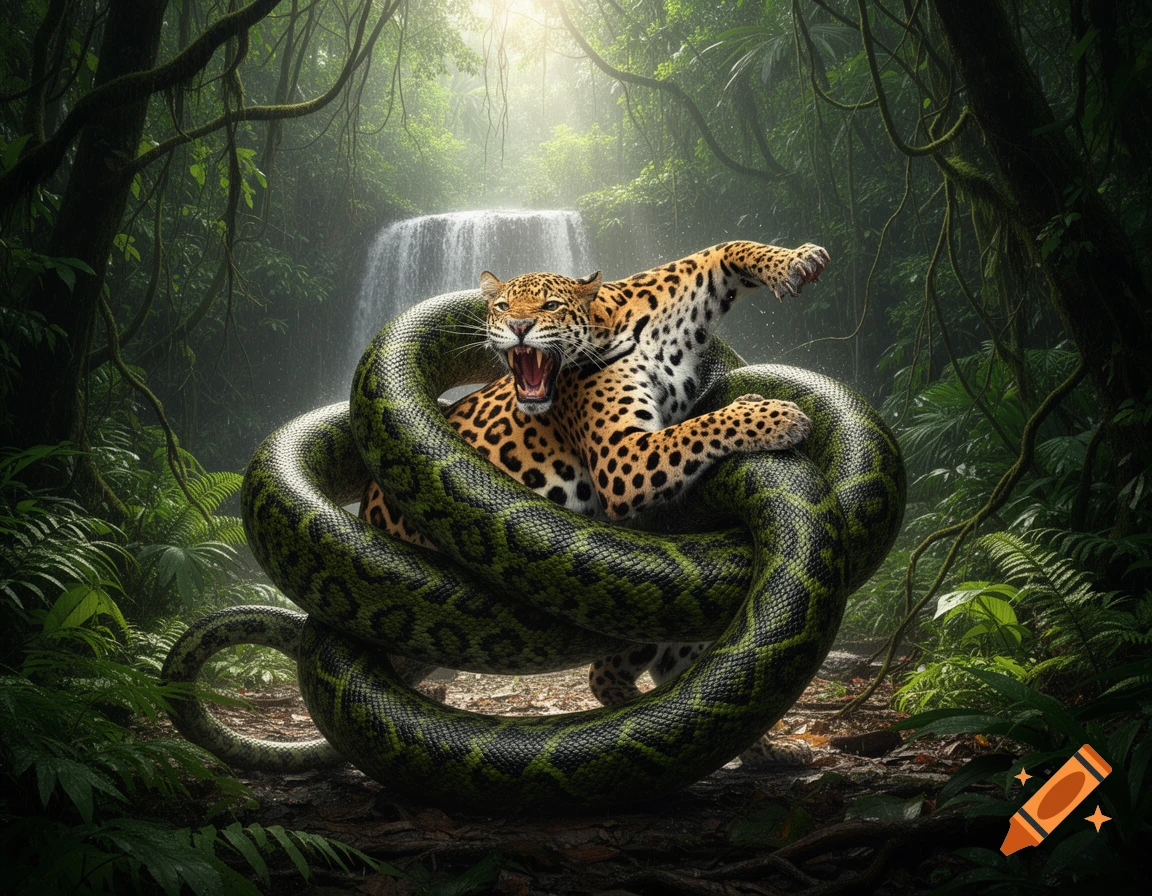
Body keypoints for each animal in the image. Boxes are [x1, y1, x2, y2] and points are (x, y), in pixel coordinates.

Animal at [360, 240, 831, 769]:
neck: (612, 327)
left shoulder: (670, 300)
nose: (517, 327)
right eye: (501, 306)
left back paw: (763, 749)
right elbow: (698, 426)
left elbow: (717, 255)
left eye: (549, 306)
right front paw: (773, 413)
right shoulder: (622, 461)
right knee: (610, 676)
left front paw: (793, 261)